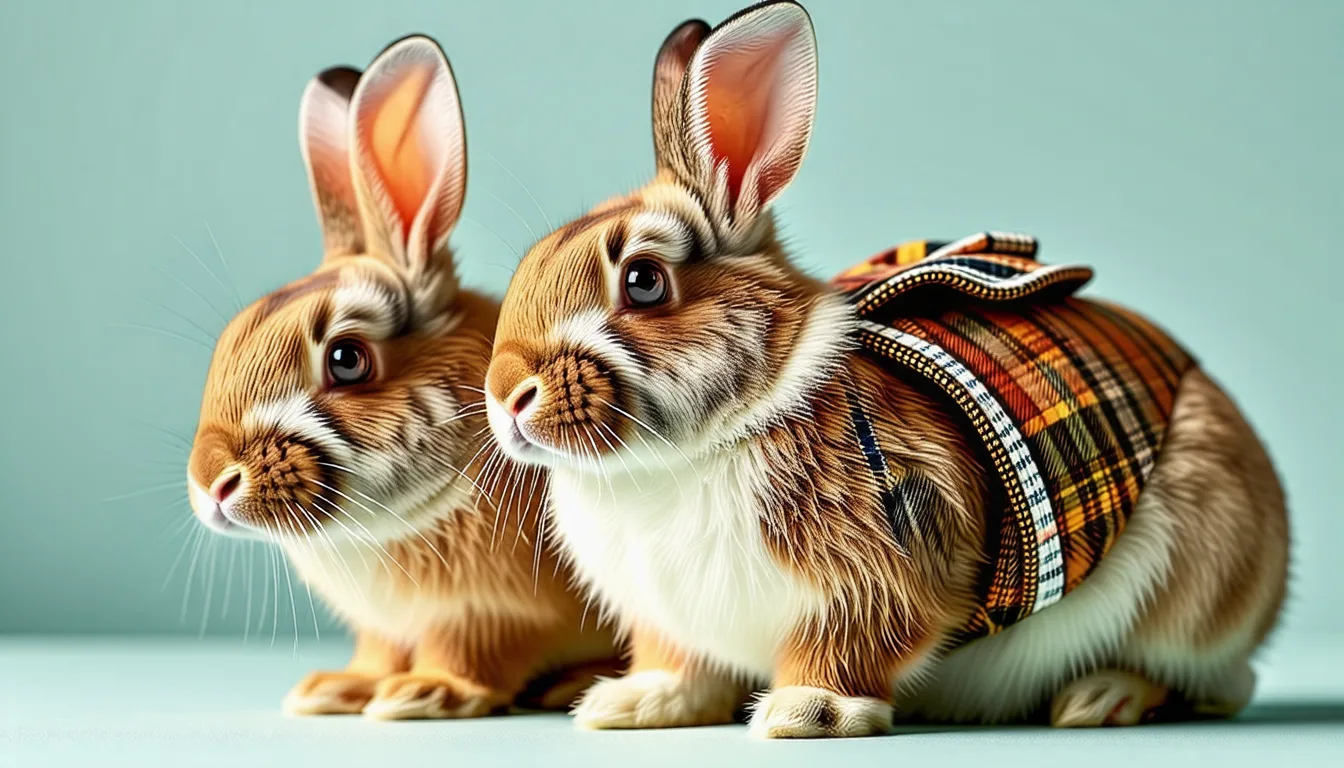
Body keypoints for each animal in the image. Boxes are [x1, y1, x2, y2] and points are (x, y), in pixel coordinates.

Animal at [185, 34, 617, 721]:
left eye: (346, 359)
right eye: (232, 338)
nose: (210, 484)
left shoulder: (490, 615)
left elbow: (468, 654)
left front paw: (425, 692)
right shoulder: (385, 626)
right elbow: (380, 652)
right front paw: (337, 688)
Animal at [481, 0, 1288, 739]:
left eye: (644, 282)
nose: (507, 397)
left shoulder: (891, 561)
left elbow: (852, 645)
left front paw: (808, 713)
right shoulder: (671, 621)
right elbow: (679, 665)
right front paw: (632, 704)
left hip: (1195, 588)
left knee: (1214, 679)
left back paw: (1101, 697)